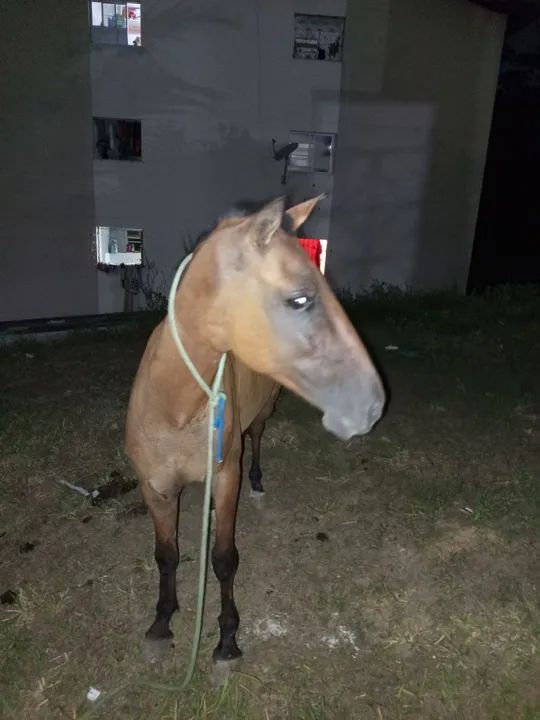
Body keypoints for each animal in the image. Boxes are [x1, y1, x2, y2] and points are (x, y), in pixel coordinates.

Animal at [124, 195, 385, 667]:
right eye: (300, 299)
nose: (372, 405)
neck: (174, 410)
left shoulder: (226, 478)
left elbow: (224, 559)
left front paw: (227, 640)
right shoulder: (154, 489)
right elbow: (166, 556)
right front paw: (161, 622)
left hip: (264, 412)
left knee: (257, 438)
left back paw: (259, 481)